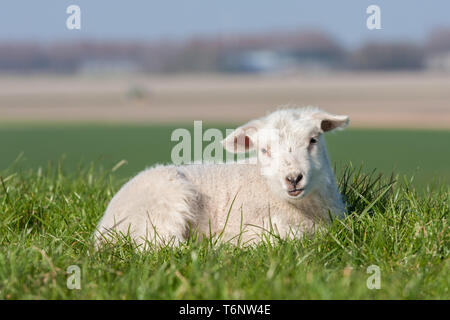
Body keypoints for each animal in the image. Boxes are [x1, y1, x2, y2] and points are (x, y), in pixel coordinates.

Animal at [94, 106, 348, 249]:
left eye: (313, 140)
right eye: (264, 150)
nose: (293, 178)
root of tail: (102, 229)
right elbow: (290, 235)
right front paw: (228, 241)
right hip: (163, 204)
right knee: (158, 245)